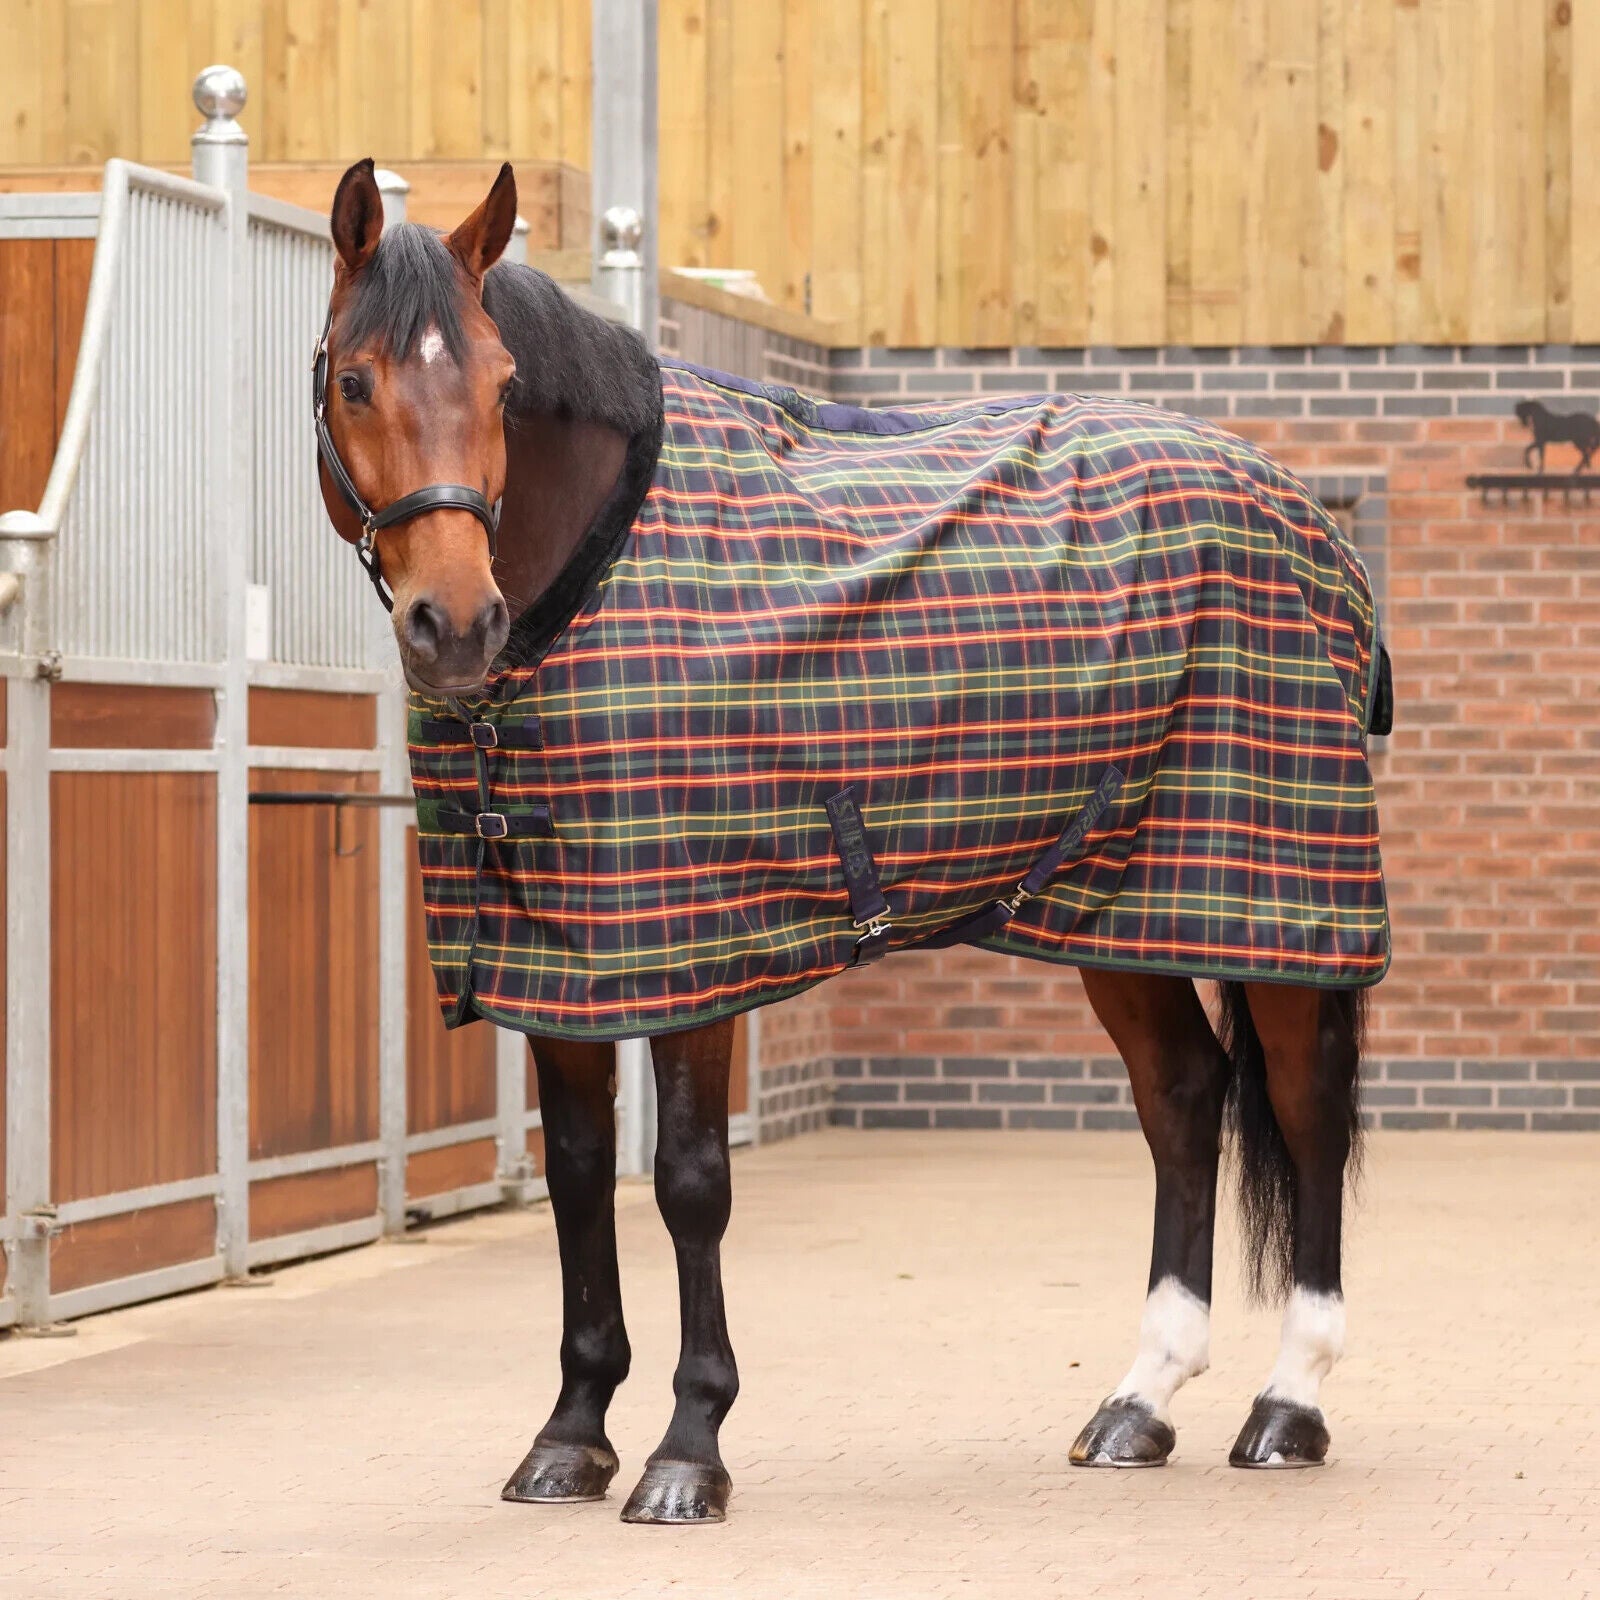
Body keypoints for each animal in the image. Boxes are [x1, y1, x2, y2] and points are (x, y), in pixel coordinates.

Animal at [313, 160, 1391, 1524]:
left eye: (505, 384)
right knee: (1184, 1098)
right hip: (1114, 899)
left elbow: (689, 1183)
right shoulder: (563, 960)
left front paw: (687, 1451)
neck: (598, 573)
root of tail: (1303, 514)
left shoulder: (695, 954)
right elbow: (577, 1175)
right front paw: (569, 1436)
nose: (455, 622)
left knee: (1302, 1105)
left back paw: (1288, 1404)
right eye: (355, 379)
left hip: (1280, 897)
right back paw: (1138, 1402)